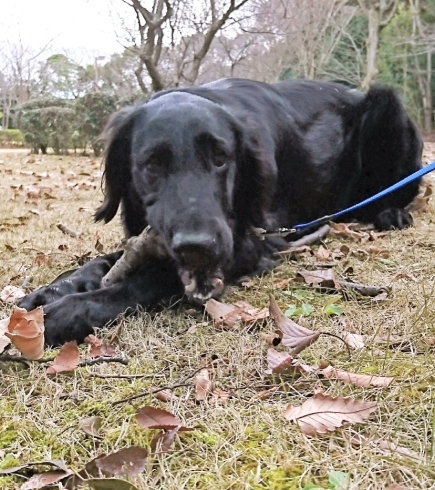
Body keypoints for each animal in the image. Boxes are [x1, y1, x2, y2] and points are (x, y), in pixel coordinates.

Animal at [18, 77, 424, 344]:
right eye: (152, 164)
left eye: (220, 157)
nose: (198, 247)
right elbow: (104, 261)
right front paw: (55, 289)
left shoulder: (253, 242)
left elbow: (147, 279)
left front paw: (69, 311)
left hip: (389, 108)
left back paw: (390, 214)